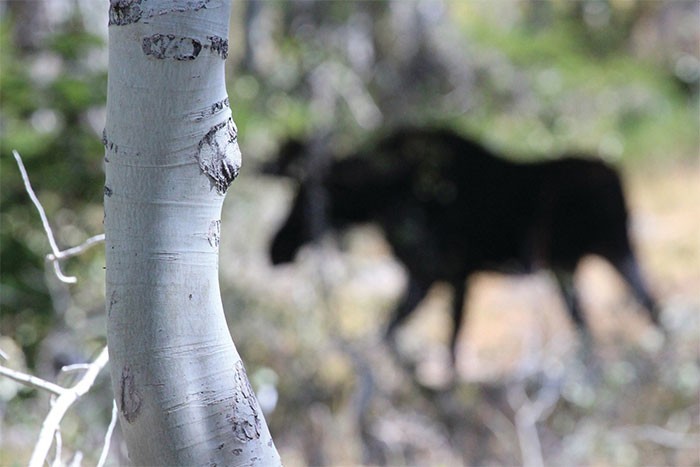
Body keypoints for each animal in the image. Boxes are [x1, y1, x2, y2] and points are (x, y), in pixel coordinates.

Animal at [264, 129, 660, 366]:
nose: (275, 249)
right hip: (574, 262)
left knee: (641, 306)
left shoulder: (453, 273)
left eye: (307, 199)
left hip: (610, 247)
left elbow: (451, 344)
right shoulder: (424, 275)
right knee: (612, 314)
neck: (387, 197)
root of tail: (619, 178)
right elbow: (389, 333)